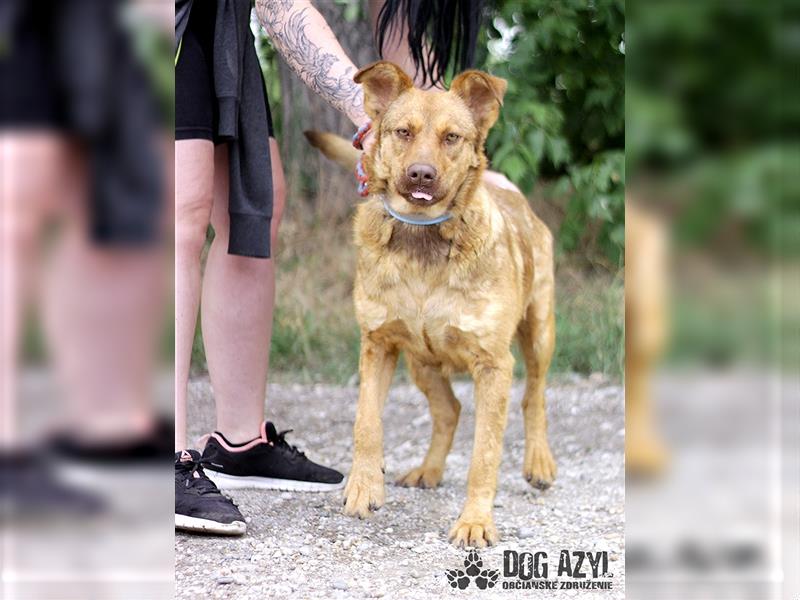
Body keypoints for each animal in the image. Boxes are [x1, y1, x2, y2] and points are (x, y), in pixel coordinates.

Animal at [306, 62, 556, 548]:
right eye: (403, 131)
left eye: (452, 137)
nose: (421, 174)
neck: (422, 240)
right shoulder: (378, 343)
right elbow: (366, 422)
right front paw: (363, 486)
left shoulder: (494, 364)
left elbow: (485, 454)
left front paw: (476, 521)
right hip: (420, 361)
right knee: (449, 410)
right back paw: (428, 470)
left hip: (539, 331)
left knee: (534, 397)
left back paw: (538, 462)